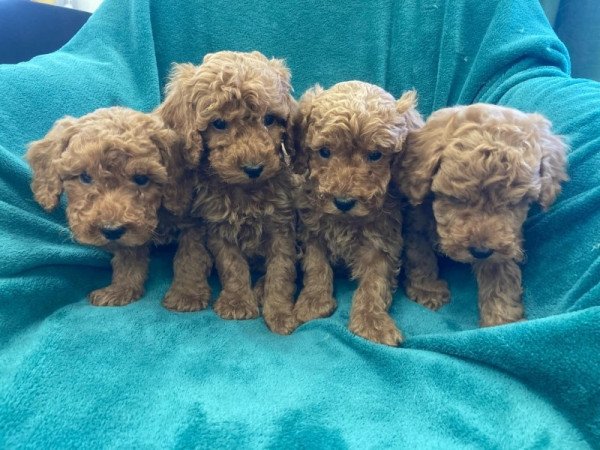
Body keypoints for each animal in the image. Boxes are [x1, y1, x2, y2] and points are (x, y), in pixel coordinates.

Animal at [26, 107, 212, 311]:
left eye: (141, 179)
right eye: (85, 177)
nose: (111, 231)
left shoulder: (194, 223)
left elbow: (190, 256)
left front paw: (187, 294)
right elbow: (128, 258)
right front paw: (121, 289)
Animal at [157, 51, 298, 334]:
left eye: (269, 119)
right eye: (219, 124)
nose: (254, 168)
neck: (246, 191)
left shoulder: (282, 225)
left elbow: (282, 269)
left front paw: (279, 312)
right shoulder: (218, 226)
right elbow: (232, 265)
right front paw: (237, 302)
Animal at [292, 81, 422, 346]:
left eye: (375, 155)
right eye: (324, 152)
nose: (343, 202)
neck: (345, 220)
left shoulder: (381, 242)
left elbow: (374, 283)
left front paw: (371, 322)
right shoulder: (311, 231)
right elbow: (316, 266)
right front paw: (313, 302)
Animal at [398, 103, 568, 326]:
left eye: (514, 202)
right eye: (457, 198)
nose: (480, 251)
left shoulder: (503, 241)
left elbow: (501, 274)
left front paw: (501, 319)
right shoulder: (416, 223)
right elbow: (420, 255)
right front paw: (428, 290)